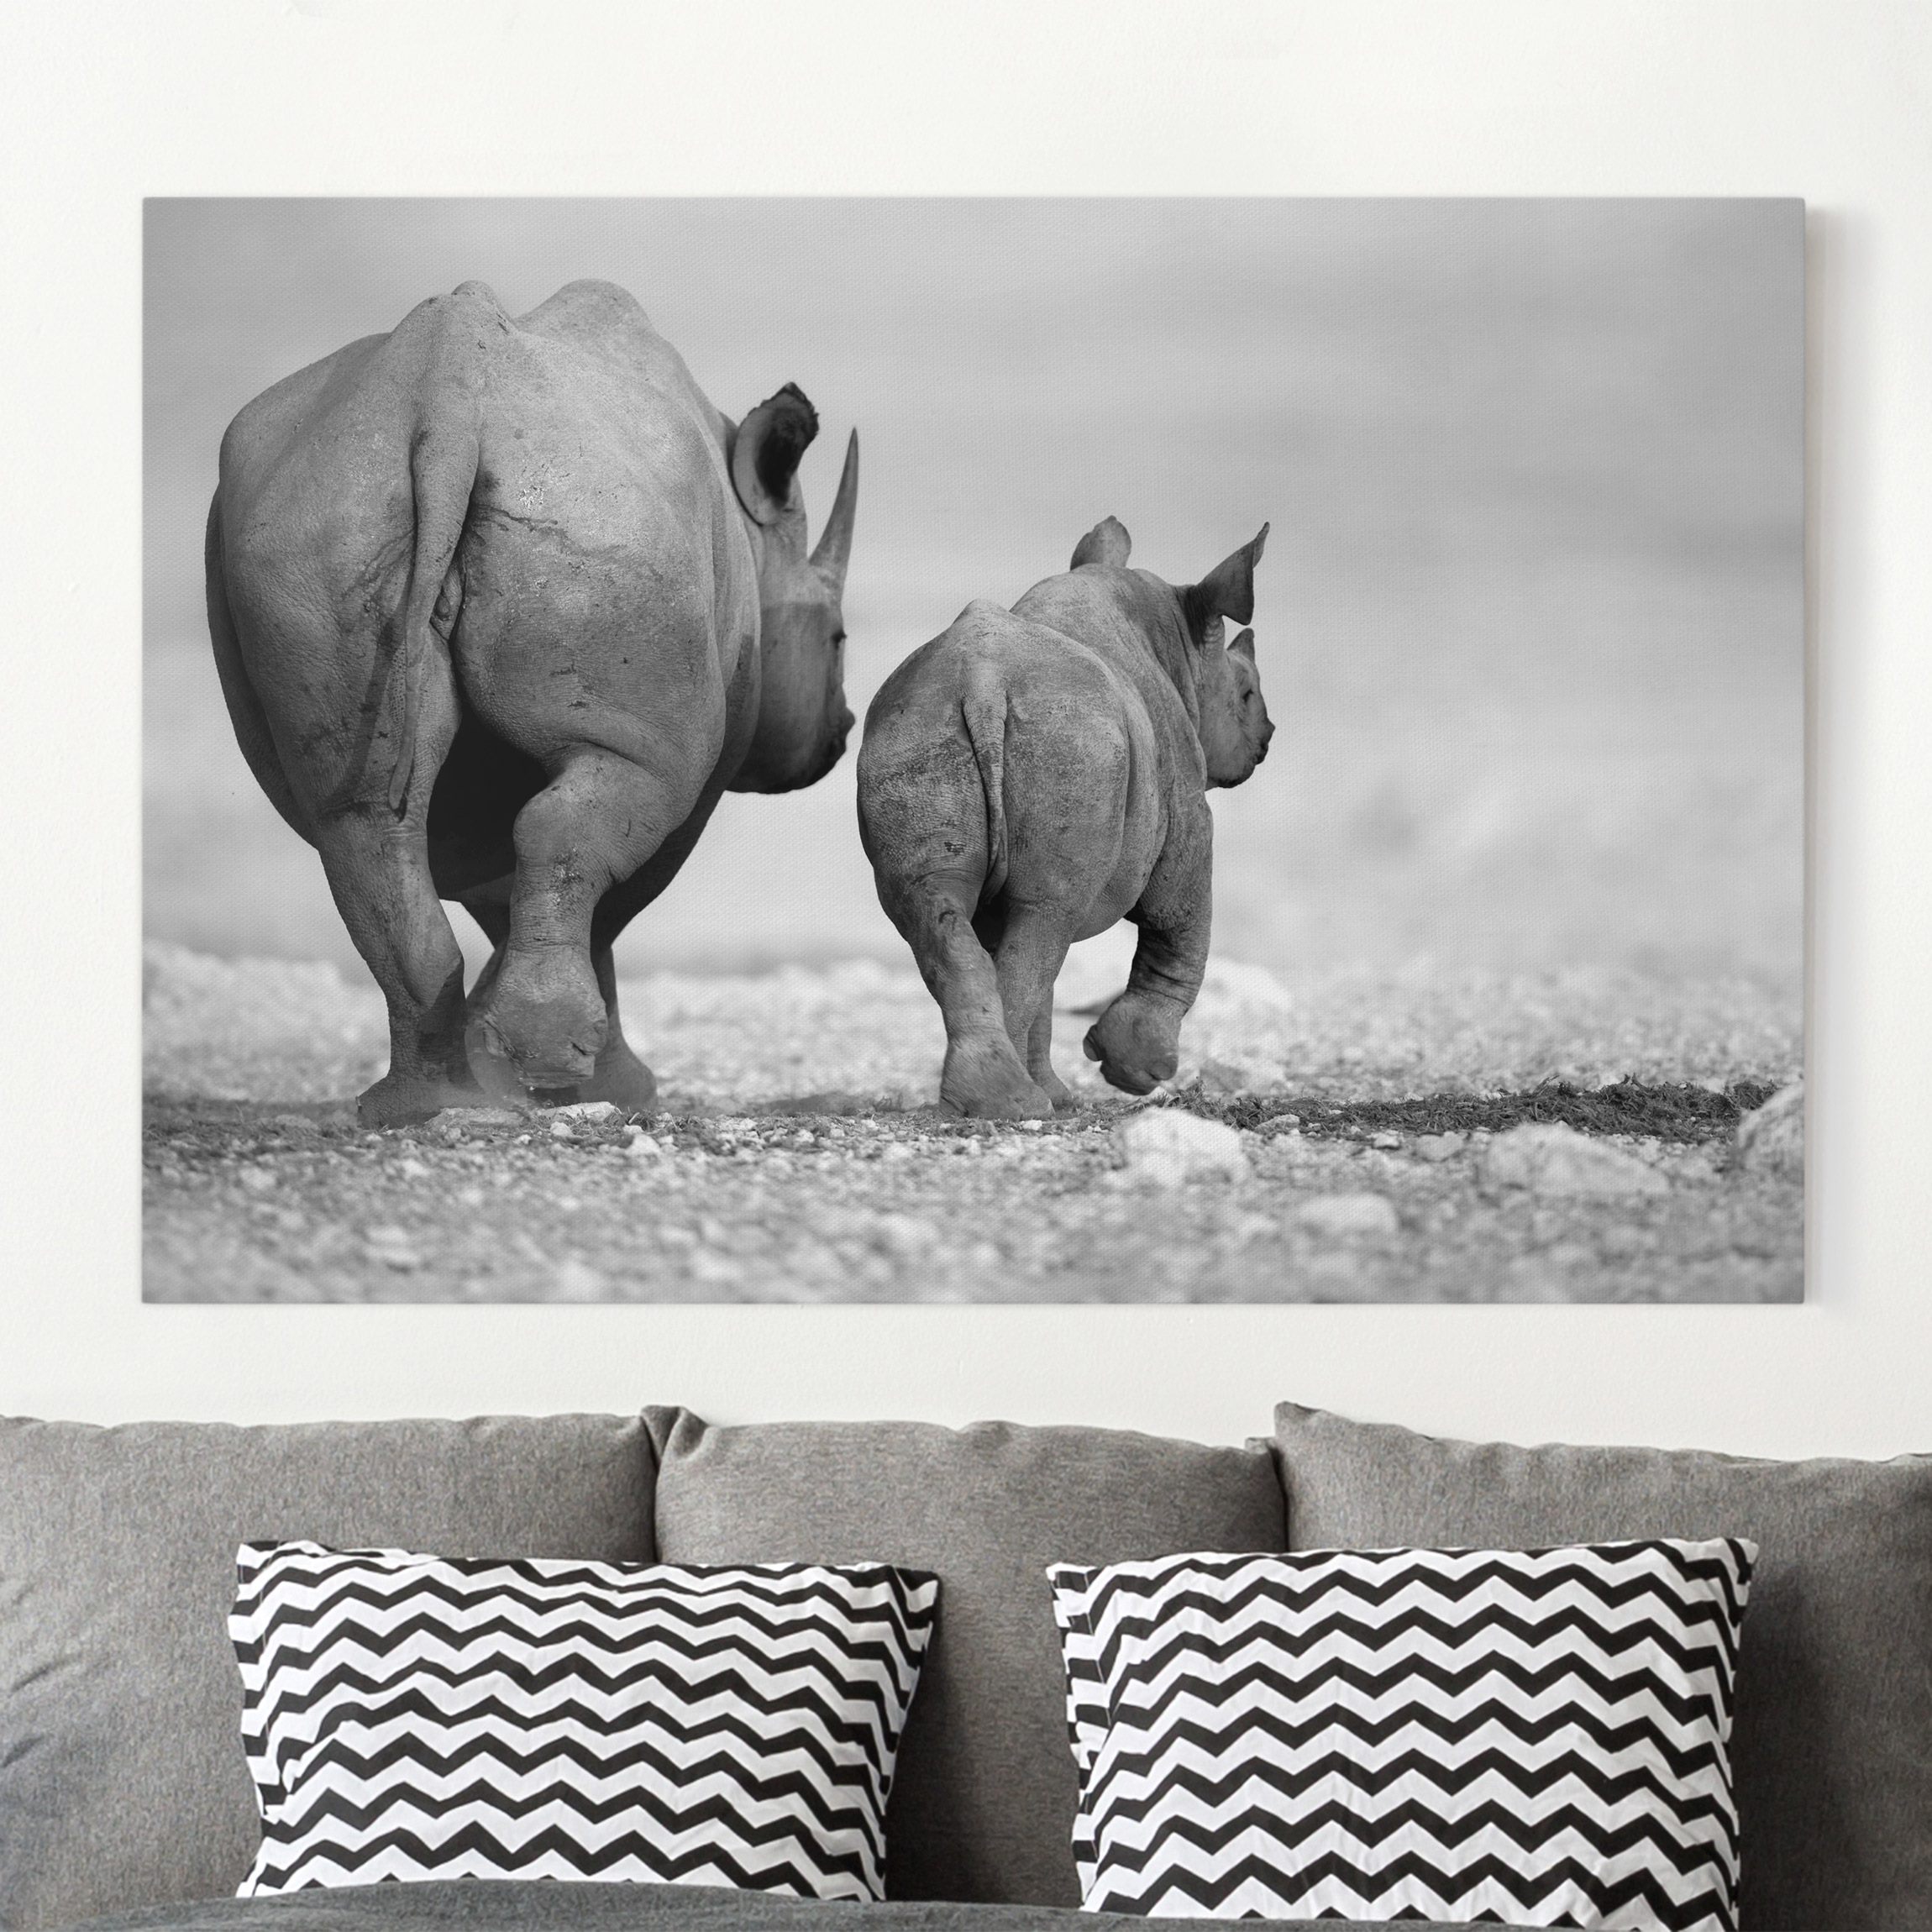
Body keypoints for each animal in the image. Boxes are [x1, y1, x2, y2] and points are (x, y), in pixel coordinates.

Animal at [205, 279, 858, 1125]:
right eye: (838, 639)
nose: (841, 733)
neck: (756, 540)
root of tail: (445, 400)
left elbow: (502, 888)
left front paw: (505, 1057)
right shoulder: (695, 754)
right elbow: (613, 896)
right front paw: (605, 1085)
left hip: (317, 518)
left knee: (360, 822)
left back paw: (420, 1102)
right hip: (594, 513)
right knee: (577, 816)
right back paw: (544, 1074)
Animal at [857, 515, 1273, 1119]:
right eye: (1245, 694)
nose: (1267, 737)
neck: (1181, 646)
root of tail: (982, 683)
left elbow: (1044, 983)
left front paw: (1060, 1095)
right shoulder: (1186, 802)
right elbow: (1178, 921)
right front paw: (1136, 1071)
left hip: (918, 728)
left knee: (948, 908)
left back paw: (995, 1101)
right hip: (1069, 742)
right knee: (1044, 918)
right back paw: (1014, 1105)